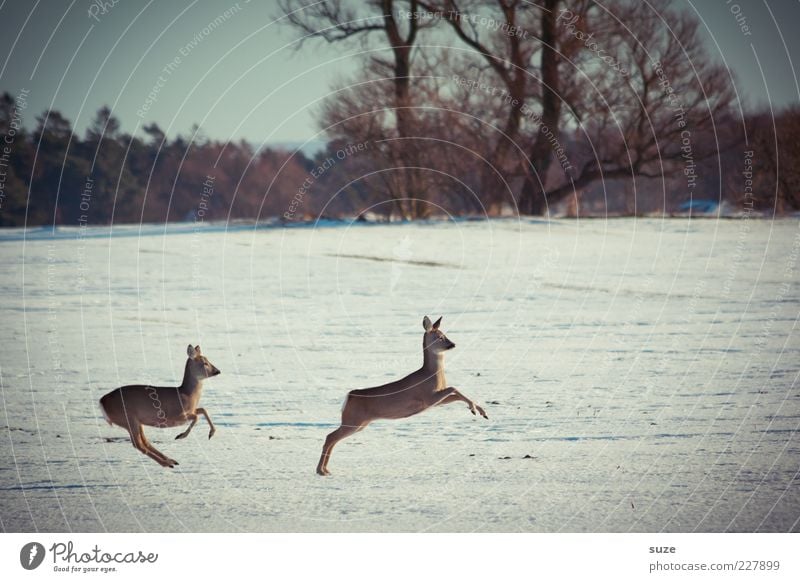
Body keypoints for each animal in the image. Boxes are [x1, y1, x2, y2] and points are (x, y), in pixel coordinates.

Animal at [318, 318, 490, 476]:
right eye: (439, 337)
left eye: (445, 334)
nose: (452, 344)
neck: (432, 375)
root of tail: (348, 397)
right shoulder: (428, 398)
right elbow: (454, 388)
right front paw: (476, 410)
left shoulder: (435, 401)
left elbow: (455, 394)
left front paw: (481, 412)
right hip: (353, 420)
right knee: (330, 437)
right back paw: (321, 470)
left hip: (360, 423)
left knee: (333, 438)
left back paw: (326, 470)